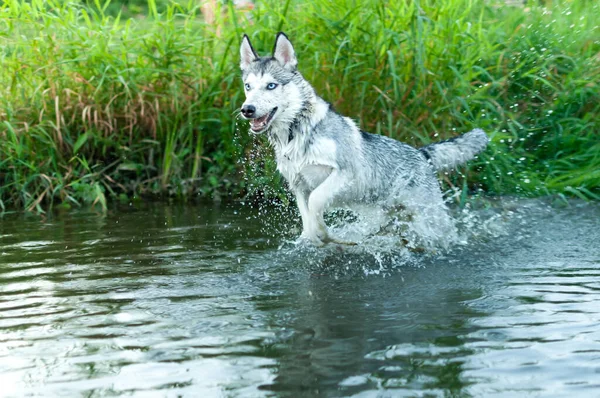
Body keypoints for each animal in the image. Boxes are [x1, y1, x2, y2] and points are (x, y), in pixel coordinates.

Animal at [238, 32, 488, 247]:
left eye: (271, 85)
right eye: (248, 86)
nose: (247, 110)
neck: (295, 136)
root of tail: (421, 153)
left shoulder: (345, 173)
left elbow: (316, 201)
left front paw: (325, 233)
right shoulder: (298, 186)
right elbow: (307, 219)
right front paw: (317, 237)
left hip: (432, 221)